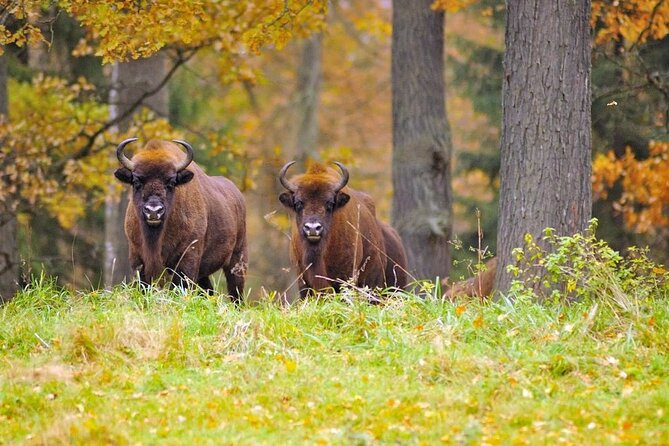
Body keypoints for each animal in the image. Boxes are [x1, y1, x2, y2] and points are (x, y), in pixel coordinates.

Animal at [114, 138, 247, 302]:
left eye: (171, 182)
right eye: (137, 182)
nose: (154, 211)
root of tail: (238, 196)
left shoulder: (187, 258)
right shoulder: (137, 258)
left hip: (238, 259)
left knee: (236, 292)